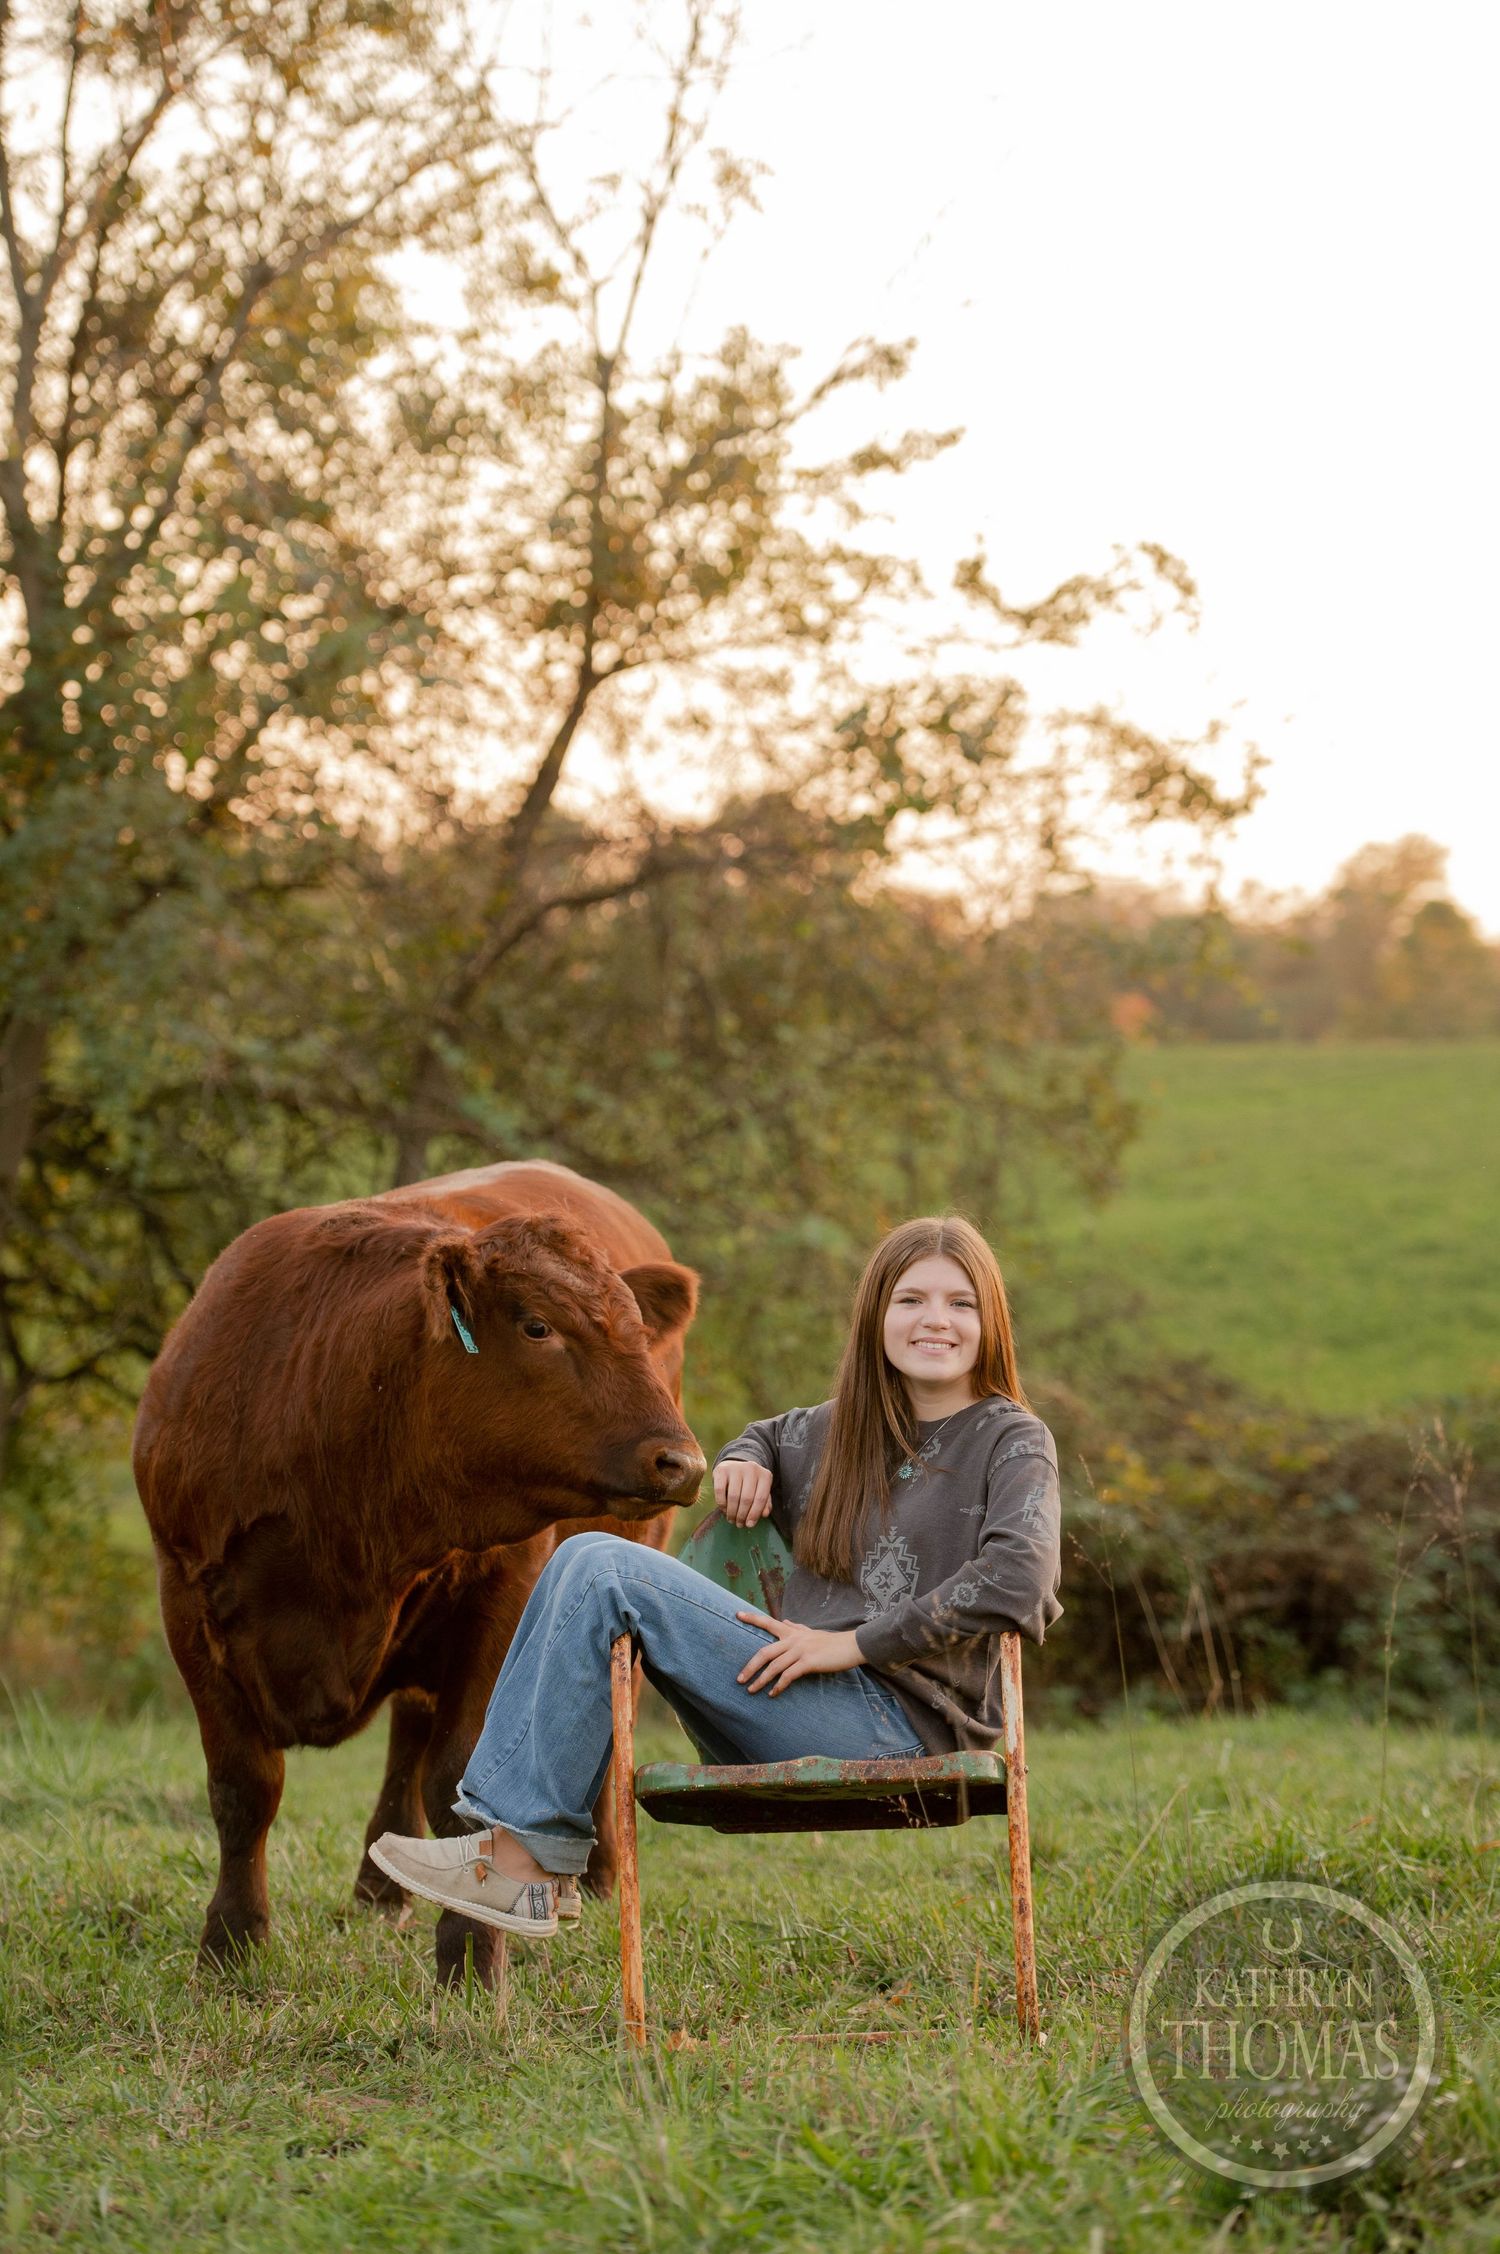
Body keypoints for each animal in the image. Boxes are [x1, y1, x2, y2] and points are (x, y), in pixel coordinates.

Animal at [133, 1159, 705, 1987]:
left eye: (633, 1328)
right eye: (537, 1325)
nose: (681, 1462)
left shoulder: (506, 1591)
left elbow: (460, 1780)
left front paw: (471, 1956)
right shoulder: (185, 1594)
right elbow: (243, 1787)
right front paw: (232, 1945)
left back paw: (591, 1879)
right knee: (409, 1730)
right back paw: (380, 1887)